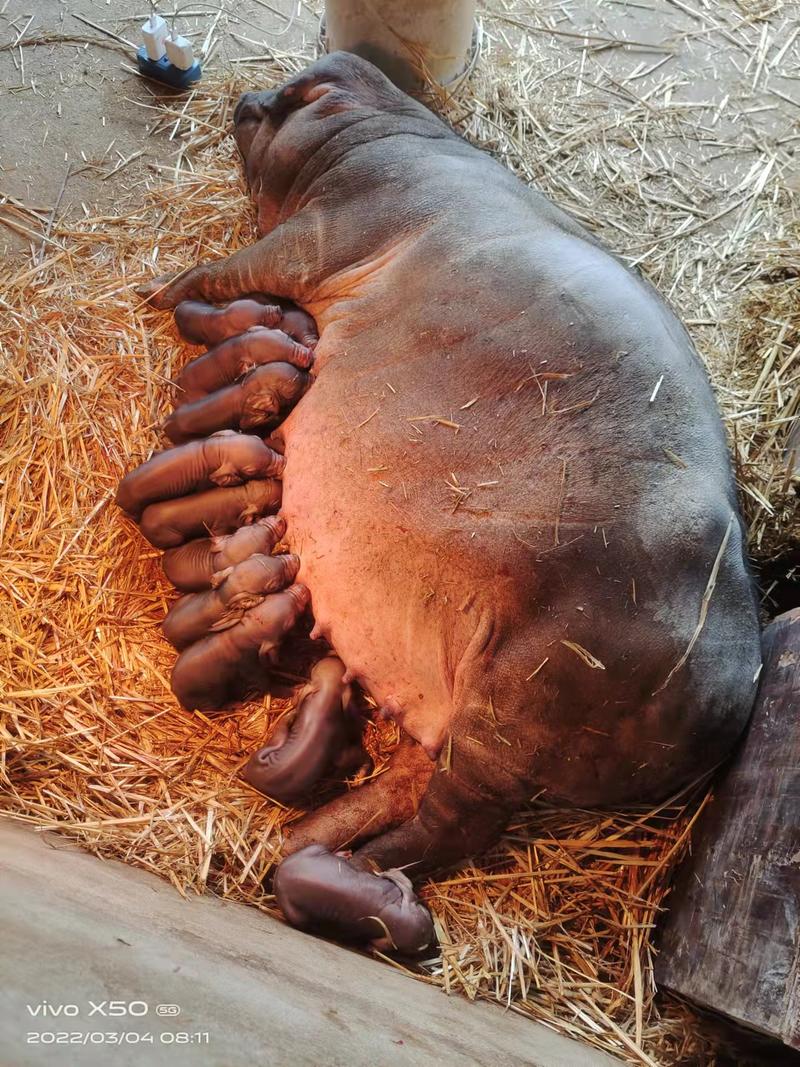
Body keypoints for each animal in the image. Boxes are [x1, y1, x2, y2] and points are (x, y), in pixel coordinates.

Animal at [122, 48, 759, 951]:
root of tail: (730, 704)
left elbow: (227, 267)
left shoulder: (326, 230)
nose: (245, 95)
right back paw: (302, 841)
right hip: (465, 711)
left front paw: (152, 285)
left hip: (523, 702)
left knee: (448, 824)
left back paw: (356, 879)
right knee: (406, 786)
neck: (380, 130)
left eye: (286, 100)